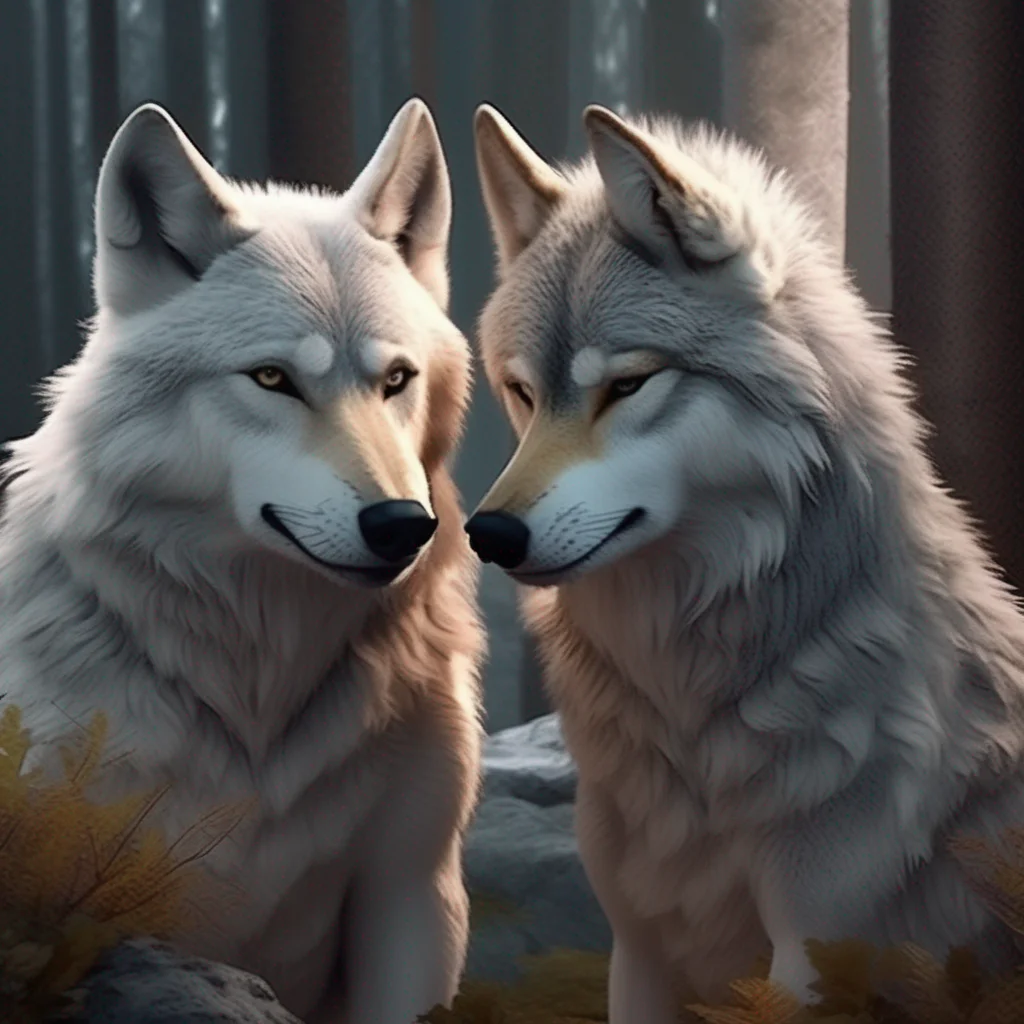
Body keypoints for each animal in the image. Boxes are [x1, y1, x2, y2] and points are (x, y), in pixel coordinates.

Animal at [465, 102, 1024, 1020]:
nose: (489, 534)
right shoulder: (640, 948)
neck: (691, 711)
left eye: (626, 386)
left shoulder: (811, 957)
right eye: (522, 392)